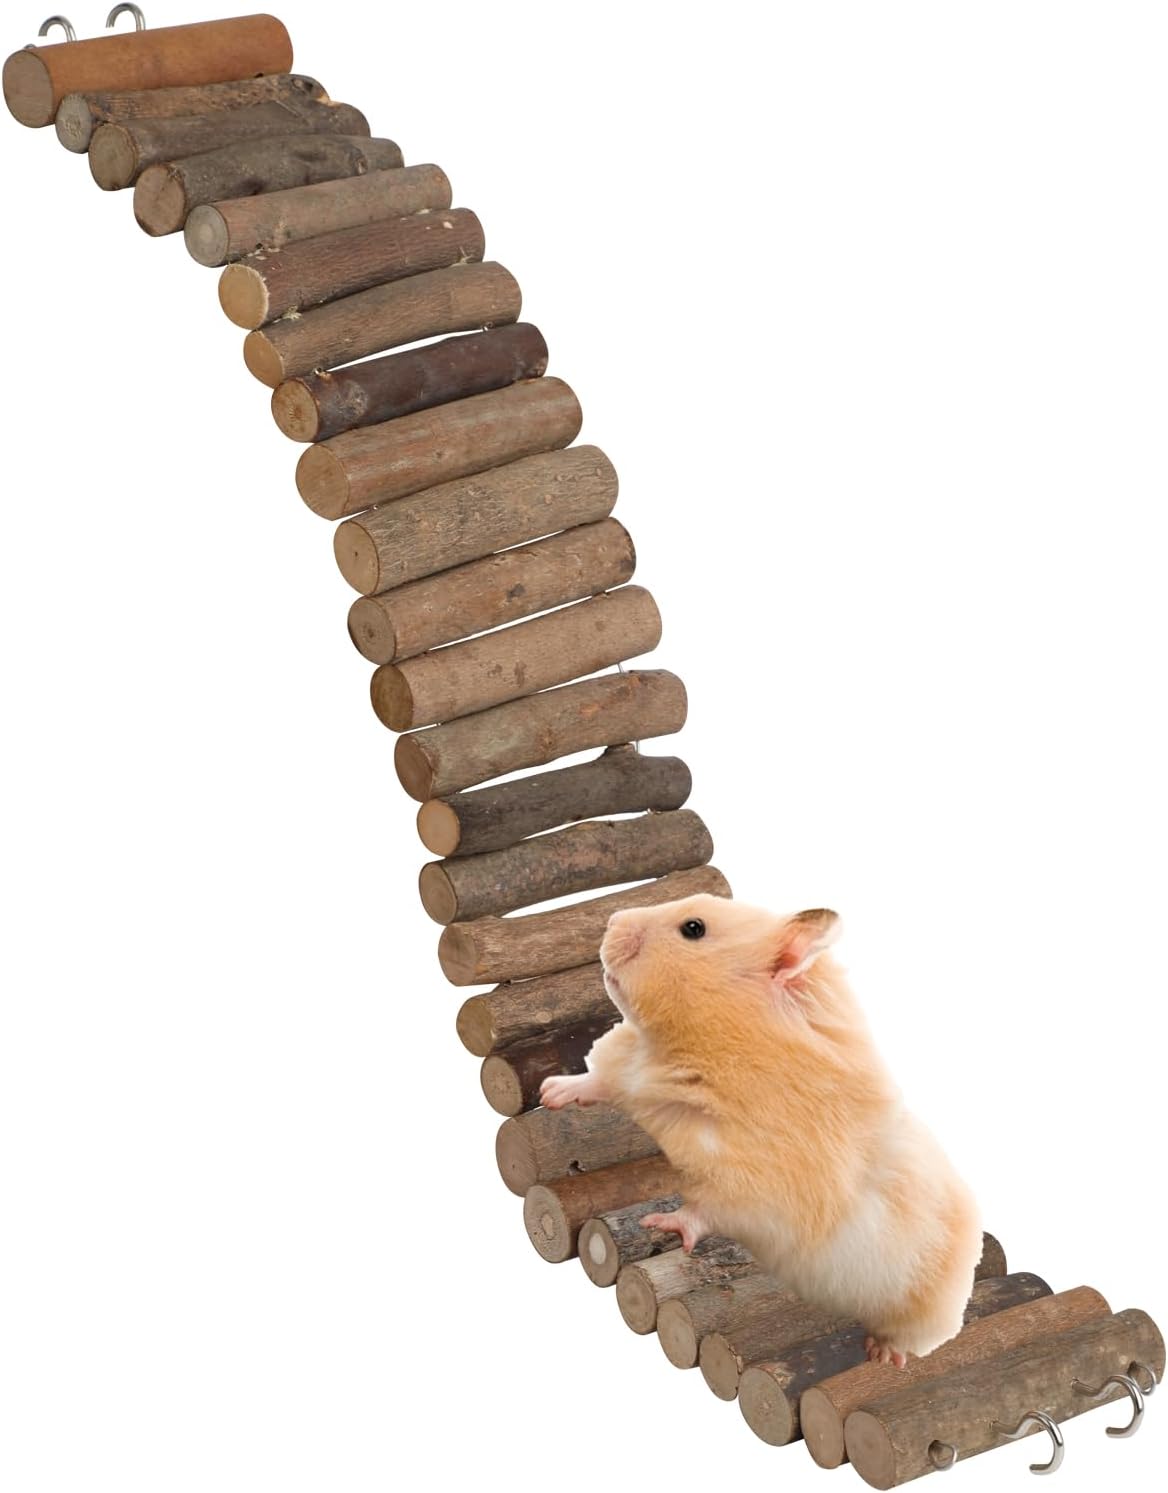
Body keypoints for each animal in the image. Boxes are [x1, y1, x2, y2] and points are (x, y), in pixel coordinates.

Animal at [540, 894, 982, 1365]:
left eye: (693, 928)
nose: (611, 921)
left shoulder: (758, 1181)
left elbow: (707, 1207)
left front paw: (661, 1223)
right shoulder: (633, 1072)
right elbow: (600, 1079)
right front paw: (553, 1092)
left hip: (924, 1305)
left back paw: (884, 1354)